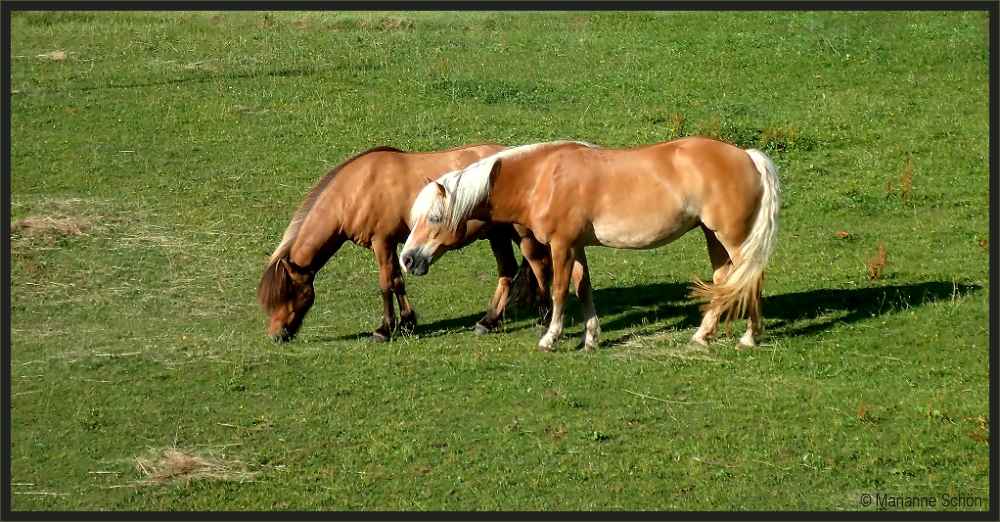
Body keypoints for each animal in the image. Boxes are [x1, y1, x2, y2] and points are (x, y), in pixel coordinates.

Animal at [256, 144, 548, 344]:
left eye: (288, 294)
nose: (276, 335)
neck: (357, 189)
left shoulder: (382, 242)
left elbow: (386, 284)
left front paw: (384, 330)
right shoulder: (394, 246)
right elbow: (398, 281)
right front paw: (407, 324)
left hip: (519, 234)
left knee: (539, 265)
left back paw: (541, 321)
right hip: (497, 235)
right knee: (508, 271)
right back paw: (488, 322)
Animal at [398, 136, 780, 352]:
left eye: (434, 219)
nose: (407, 259)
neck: (541, 178)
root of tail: (748, 156)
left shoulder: (562, 245)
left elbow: (558, 291)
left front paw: (550, 339)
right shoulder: (576, 246)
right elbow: (584, 289)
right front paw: (590, 338)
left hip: (733, 237)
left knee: (751, 278)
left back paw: (750, 337)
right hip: (713, 235)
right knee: (724, 281)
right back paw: (703, 335)